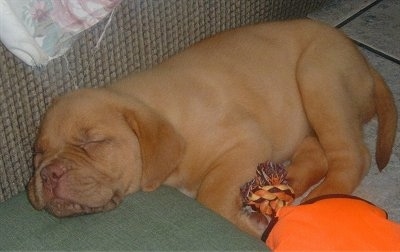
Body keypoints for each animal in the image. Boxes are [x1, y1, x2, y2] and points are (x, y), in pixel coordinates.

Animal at [27, 18, 396, 237]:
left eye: (92, 142)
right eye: (38, 154)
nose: (48, 175)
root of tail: (365, 63)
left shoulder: (245, 142)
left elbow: (211, 195)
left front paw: (251, 223)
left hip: (317, 76)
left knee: (352, 156)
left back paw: (314, 205)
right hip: (306, 119)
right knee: (317, 155)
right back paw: (287, 189)